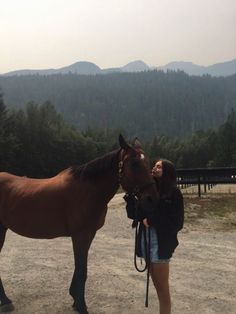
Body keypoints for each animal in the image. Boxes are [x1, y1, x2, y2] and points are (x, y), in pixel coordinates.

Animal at [0, 134, 159, 312]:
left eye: (148, 162)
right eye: (134, 163)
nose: (152, 199)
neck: (87, 191)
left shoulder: (89, 234)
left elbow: (80, 268)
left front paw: (75, 299)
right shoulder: (80, 235)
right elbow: (82, 269)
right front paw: (81, 305)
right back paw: (5, 301)